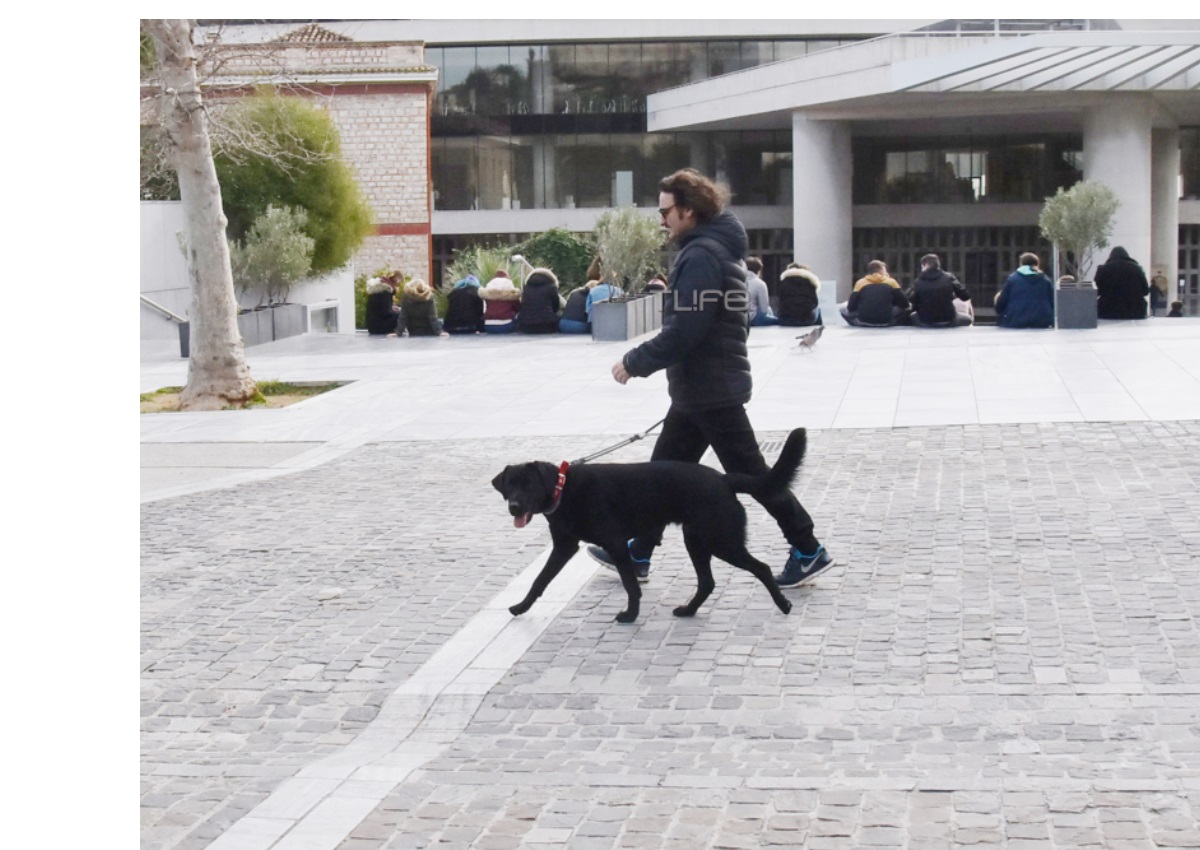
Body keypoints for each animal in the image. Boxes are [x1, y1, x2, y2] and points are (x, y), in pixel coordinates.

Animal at [492, 427, 811, 619]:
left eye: (529, 484)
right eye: (509, 485)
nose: (514, 507)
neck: (564, 489)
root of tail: (723, 479)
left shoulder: (616, 544)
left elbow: (631, 583)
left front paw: (630, 616)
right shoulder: (564, 547)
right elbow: (540, 579)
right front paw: (521, 606)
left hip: (721, 542)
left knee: (762, 568)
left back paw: (783, 604)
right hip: (696, 541)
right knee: (707, 582)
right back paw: (688, 610)